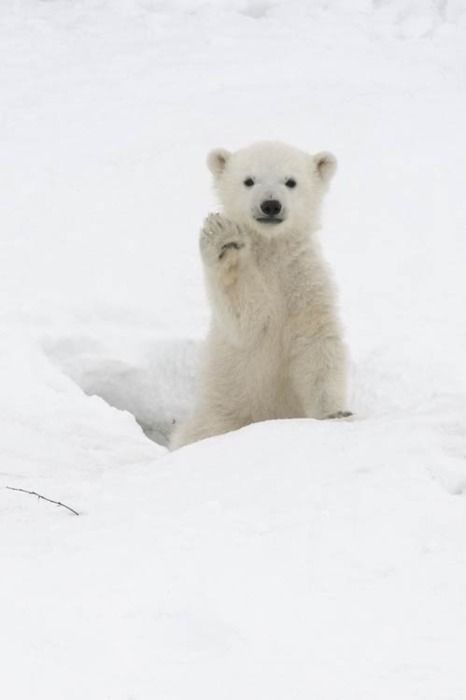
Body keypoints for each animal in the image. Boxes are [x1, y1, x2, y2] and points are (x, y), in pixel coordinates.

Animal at [170, 140, 351, 449]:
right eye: (249, 180)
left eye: (291, 181)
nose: (270, 205)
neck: (271, 251)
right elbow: (248, 322)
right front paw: (225, 244)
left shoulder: (305, 280)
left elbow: (318, 343)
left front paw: (335, 414)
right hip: (221, 412)